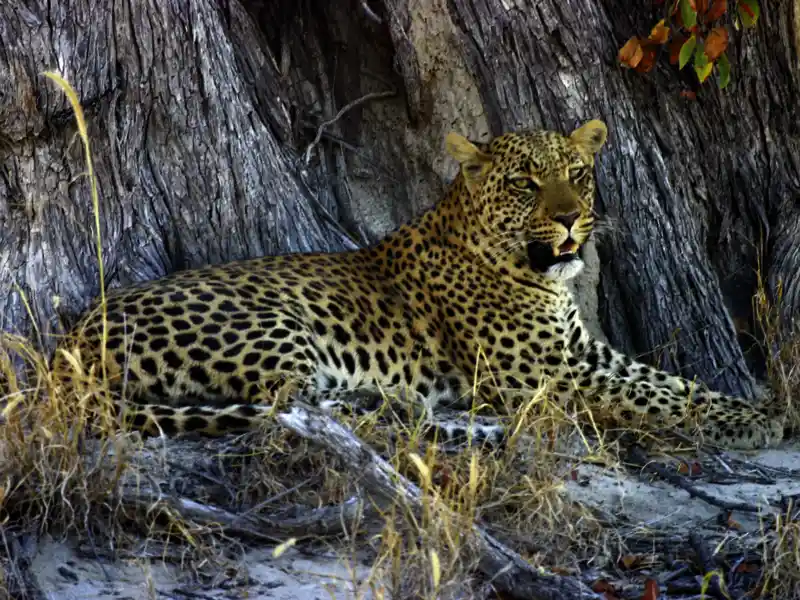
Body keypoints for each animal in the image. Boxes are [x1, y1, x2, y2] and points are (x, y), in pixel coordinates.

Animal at [53, 120, 784, 450]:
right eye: (527, 184)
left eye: (577, 174)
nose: (571, 217)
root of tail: (70, 342)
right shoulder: (549, 373)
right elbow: (655, 397)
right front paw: (761, 422)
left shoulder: (582, 352)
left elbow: (668, 381)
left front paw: (761, 408)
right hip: (273, 323)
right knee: (292, 406)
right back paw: (404, 408)